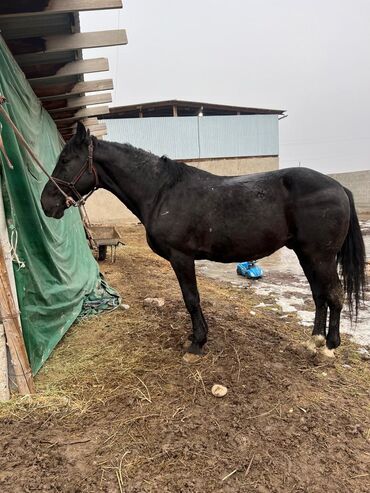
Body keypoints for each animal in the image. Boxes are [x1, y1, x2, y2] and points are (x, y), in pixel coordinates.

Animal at [40, 122, 364, 362]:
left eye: (66, 160)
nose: (46, 203)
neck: (161, 191)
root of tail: (338, 186)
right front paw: (199, 337)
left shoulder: (181, 257)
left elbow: (191, 299)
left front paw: (197, 343)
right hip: (305, 254)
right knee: (320, 295)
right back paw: (314, 341)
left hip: (320, 256)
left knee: (334, 295)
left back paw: (330, 346)